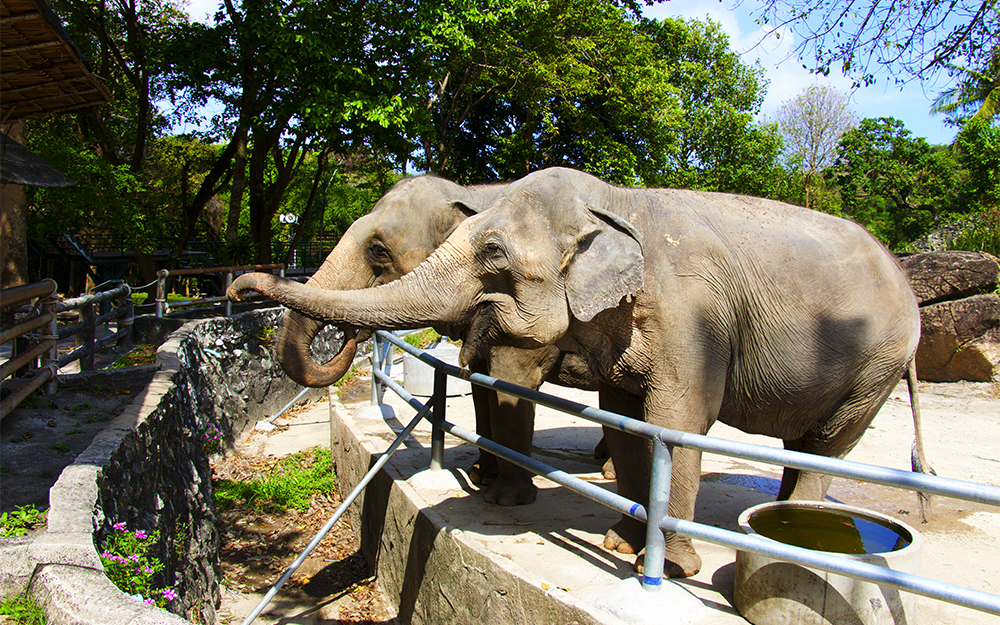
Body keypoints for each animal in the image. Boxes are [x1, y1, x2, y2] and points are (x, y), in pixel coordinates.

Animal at [270, 173, 592, 504]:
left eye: (377, 249)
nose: (349, 334)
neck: (474, 193)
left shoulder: (525, 313)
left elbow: (511, 384)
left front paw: (505, 498)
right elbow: (481, 387)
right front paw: (480, 476)